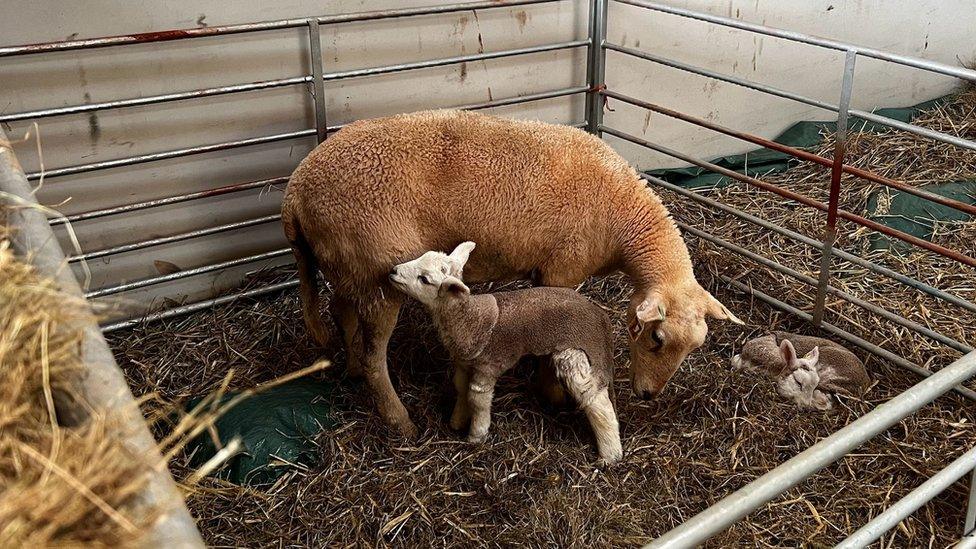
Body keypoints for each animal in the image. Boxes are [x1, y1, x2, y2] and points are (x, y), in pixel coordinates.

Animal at [282, 108, 740, 436]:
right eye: (657, 338)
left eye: (695, 347)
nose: (648, 395)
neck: (624, 220)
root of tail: (295, 190)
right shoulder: (564, 268)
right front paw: (552, 393)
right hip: (376, 271)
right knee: (376, 358)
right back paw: (400, 421)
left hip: (348, 265)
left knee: (342, 313)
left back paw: (352, 368)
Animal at [386, 242, 620, 460]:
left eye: (424, 279)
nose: (393, 271)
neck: (469, 317)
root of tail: (602, 318)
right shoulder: (464, 364)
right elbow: (460, 388)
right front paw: (457, 421)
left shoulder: (487, 367)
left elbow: (477, 399)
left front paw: (476, 436)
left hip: (577, 354)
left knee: (597, 402)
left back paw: (611, 455)